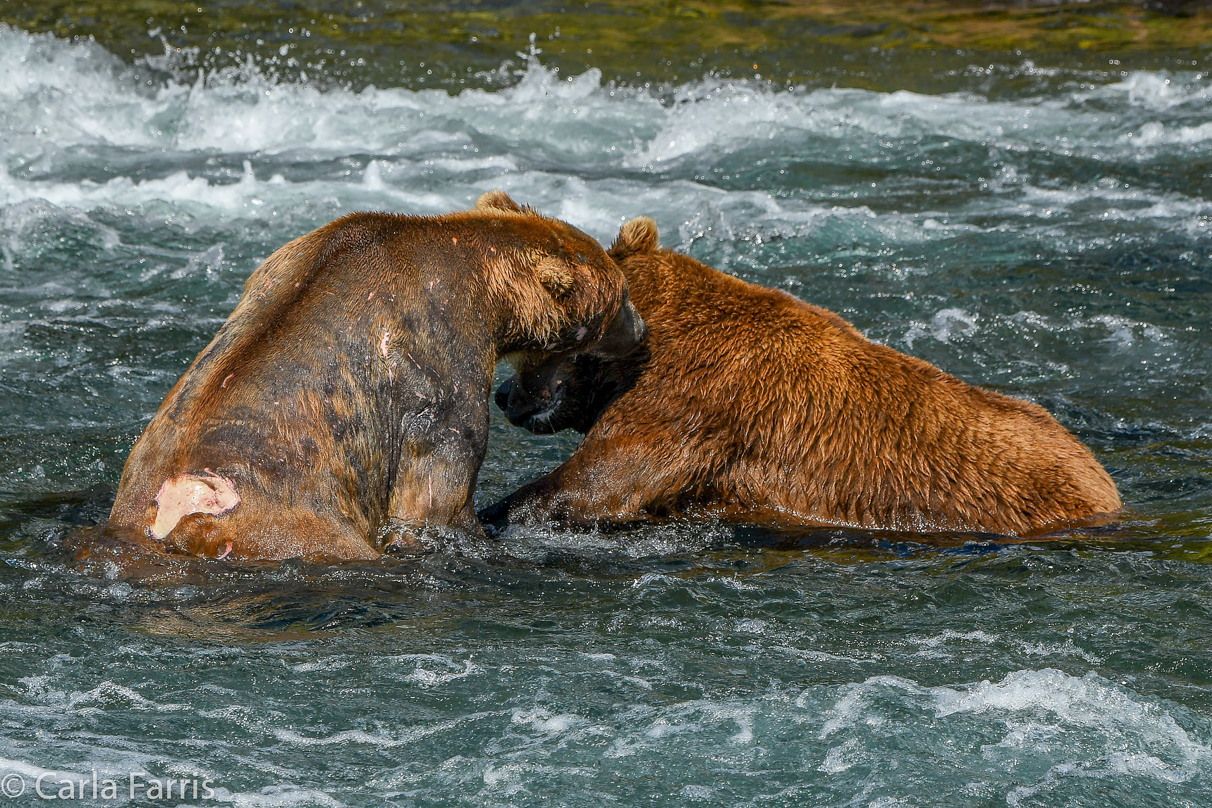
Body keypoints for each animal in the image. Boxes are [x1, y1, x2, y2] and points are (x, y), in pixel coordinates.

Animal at [104, 193, 649, 562]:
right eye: (621, 296)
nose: (642, 329)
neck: (485, 289)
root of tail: (170, 515)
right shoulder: (440, 355)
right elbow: (435, 492)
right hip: (290, 527)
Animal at [477, 214, 1119, 537]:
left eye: (535, 343)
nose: (506, 395)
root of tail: (1106, 485)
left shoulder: (692, 401)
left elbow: (597, 483)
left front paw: (498, 513)